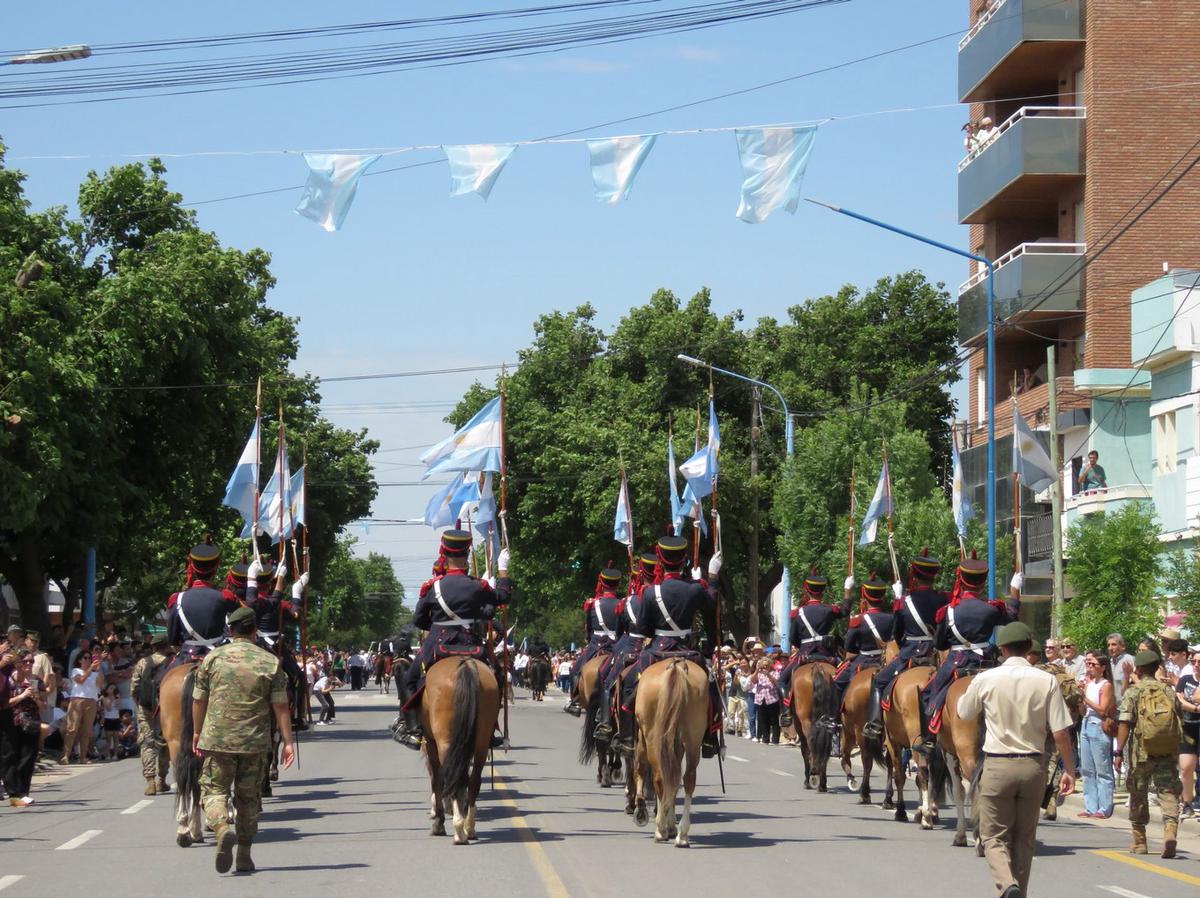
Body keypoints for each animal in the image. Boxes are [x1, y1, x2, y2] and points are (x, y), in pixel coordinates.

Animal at [420, 657, 499, 840]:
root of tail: (466, 665)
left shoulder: (430, 743)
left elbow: (437, 778)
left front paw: (439, 821)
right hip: (481, 742)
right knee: (473, 780)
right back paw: (469, 827)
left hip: (444, 742)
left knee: (451, 777)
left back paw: (458, 830)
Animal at [633, 657, 705, 845]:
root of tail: (677, 666)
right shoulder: (677, 746)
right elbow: (674, 780)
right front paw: (671, 824)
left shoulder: (643, 738)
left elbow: (641, 769)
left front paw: (642, 809)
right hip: (694, 740)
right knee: (688, 779)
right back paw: (682, 834)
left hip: (652, 738)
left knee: (659, 778)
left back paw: (660, 829)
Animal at [792, 657, 840, 792]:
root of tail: (818, 667)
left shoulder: (798, 723)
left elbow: (804, 749)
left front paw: (807, 780)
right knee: (826, 744)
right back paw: (822, 783)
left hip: (804, 721)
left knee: (810, 743)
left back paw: (812, 776)